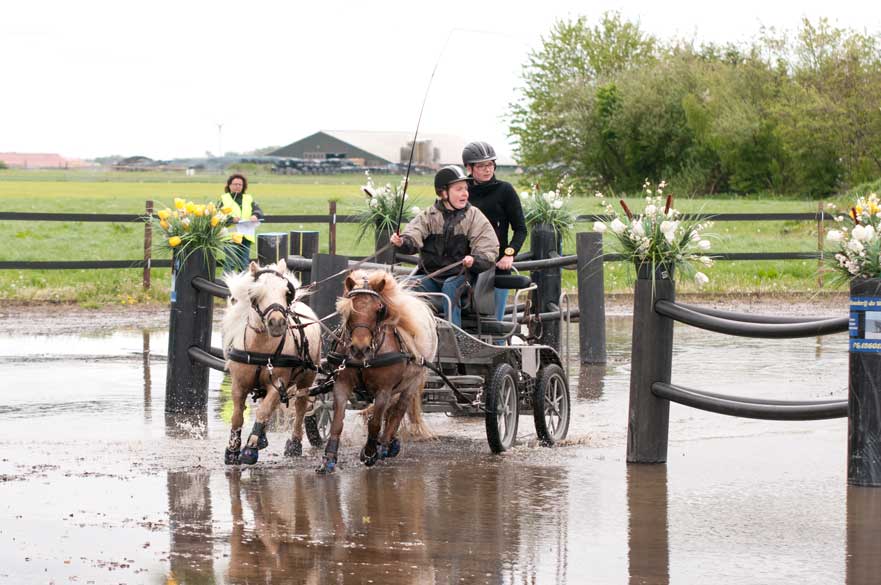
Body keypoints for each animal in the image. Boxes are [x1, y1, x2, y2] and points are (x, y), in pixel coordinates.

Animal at [222, 260, 322, 466]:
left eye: (286, 292)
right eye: (256, 294)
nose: (277, 323)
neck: (260, 349)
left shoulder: (278, 384)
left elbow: (263, 412)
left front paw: (250, 449)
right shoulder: (239, 385)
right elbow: (237, 416)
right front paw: (233, 450)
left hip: (307, 378)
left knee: (301, 407)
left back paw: (294, 444)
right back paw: (263, 438)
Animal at [318, 270, 438, 474]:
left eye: (379, 309)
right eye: (349, 310)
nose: (360, 348)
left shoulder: (384, 390)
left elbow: (375, 422)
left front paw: (369, 452)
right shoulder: (341, 384)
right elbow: (338, 421)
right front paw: (329, 459)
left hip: (411, 384)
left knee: (398, 411)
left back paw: (384, 445)